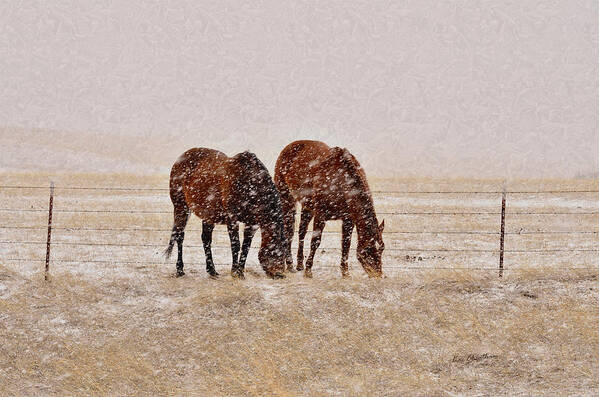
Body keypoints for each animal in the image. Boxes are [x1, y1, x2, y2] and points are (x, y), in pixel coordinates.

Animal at [164, 148, 286, 278]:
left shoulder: (251, 223)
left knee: (206, 239)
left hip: (208, 216)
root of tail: (180, 159)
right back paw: (180, 270)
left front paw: (240, 272)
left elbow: (246, 246)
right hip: (181, 208)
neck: (249, 184)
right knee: (179, 235)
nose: (280, 274)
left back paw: (212, 270)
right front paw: (234, 272)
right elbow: (236, 244)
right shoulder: (232, 219)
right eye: (275, 251)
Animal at [276, 141, 384, 276]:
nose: (378, 274)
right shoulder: (320, 215)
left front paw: (345, 272)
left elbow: (346, 244)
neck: (340, 181)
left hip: (307, 206)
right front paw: (308, 271)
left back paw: (299, 264)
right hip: (286, 198)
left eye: (382, 248)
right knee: (288, 230)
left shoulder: (348, 219)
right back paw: (289, 264)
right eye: (368, 248)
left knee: (301, 231)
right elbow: (315, 241)